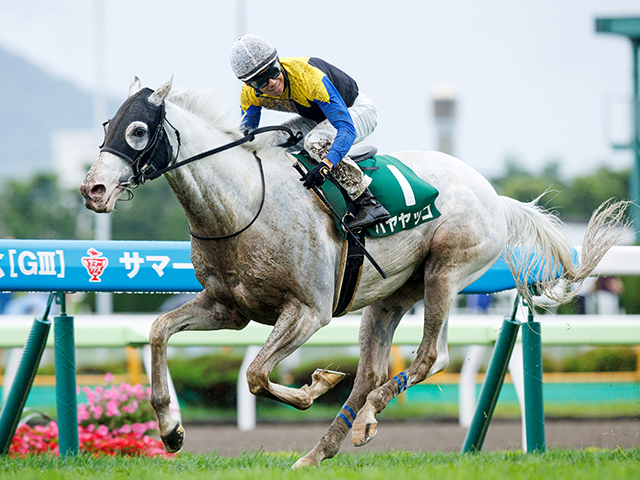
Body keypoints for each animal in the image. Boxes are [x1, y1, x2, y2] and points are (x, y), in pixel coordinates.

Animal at [79, 79, 624, 468]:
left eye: (137, 130)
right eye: (106, 126)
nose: (94, 190)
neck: (244, 204)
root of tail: (495, 195)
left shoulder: (308, 311)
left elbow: (256, 375)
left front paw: (314, 384)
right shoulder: (228, 308)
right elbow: (158, 330)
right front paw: (171, 430)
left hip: (445, 272)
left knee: (431, 356)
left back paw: (361, 423)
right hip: (391, 295)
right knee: (373, 372)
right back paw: (320, 450)